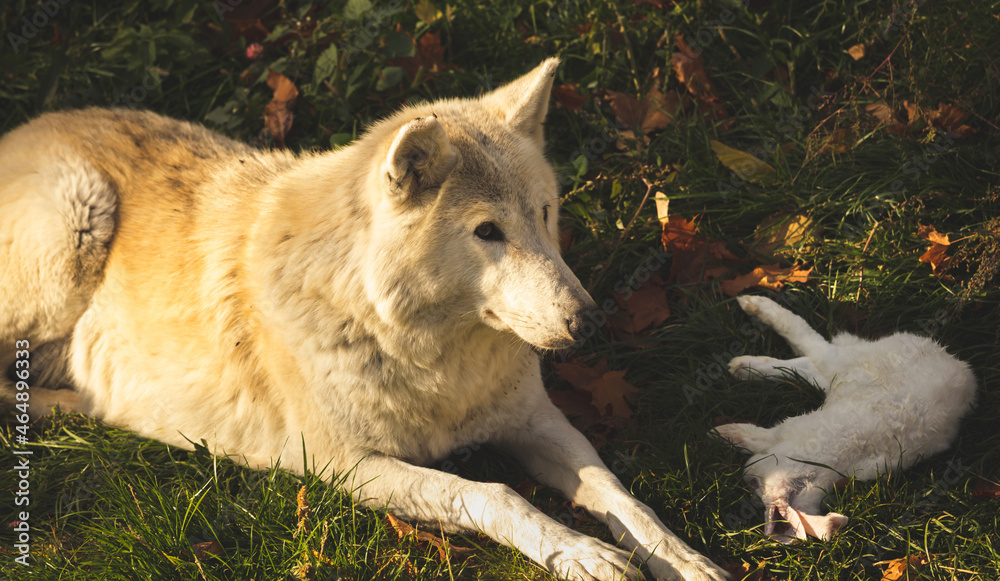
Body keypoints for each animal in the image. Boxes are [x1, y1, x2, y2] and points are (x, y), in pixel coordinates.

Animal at [0, 60, 728, 580]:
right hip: (76, 228)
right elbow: (495, 493)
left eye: (545, 213)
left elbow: (617, 491)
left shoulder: (533, 419)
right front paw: (582, 554)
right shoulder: (344, 467)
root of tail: (16, 131)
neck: (430, 355)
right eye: (487, 232)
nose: (588, 321)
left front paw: (681, 557)